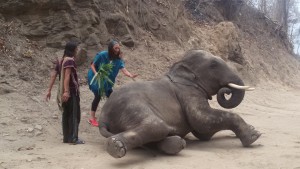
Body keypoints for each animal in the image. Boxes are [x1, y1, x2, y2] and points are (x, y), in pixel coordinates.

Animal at [98, 49, 260, 158]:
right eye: (213, 65)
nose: (226, 90)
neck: (179, 67)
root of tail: (103, 117)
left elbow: (204, 133)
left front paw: (252, 129)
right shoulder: (187, 92)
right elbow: (202, 121)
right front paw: (254, 135)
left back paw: (176, 143)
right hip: (130, 106)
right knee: (158, 126)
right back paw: (115, 146)